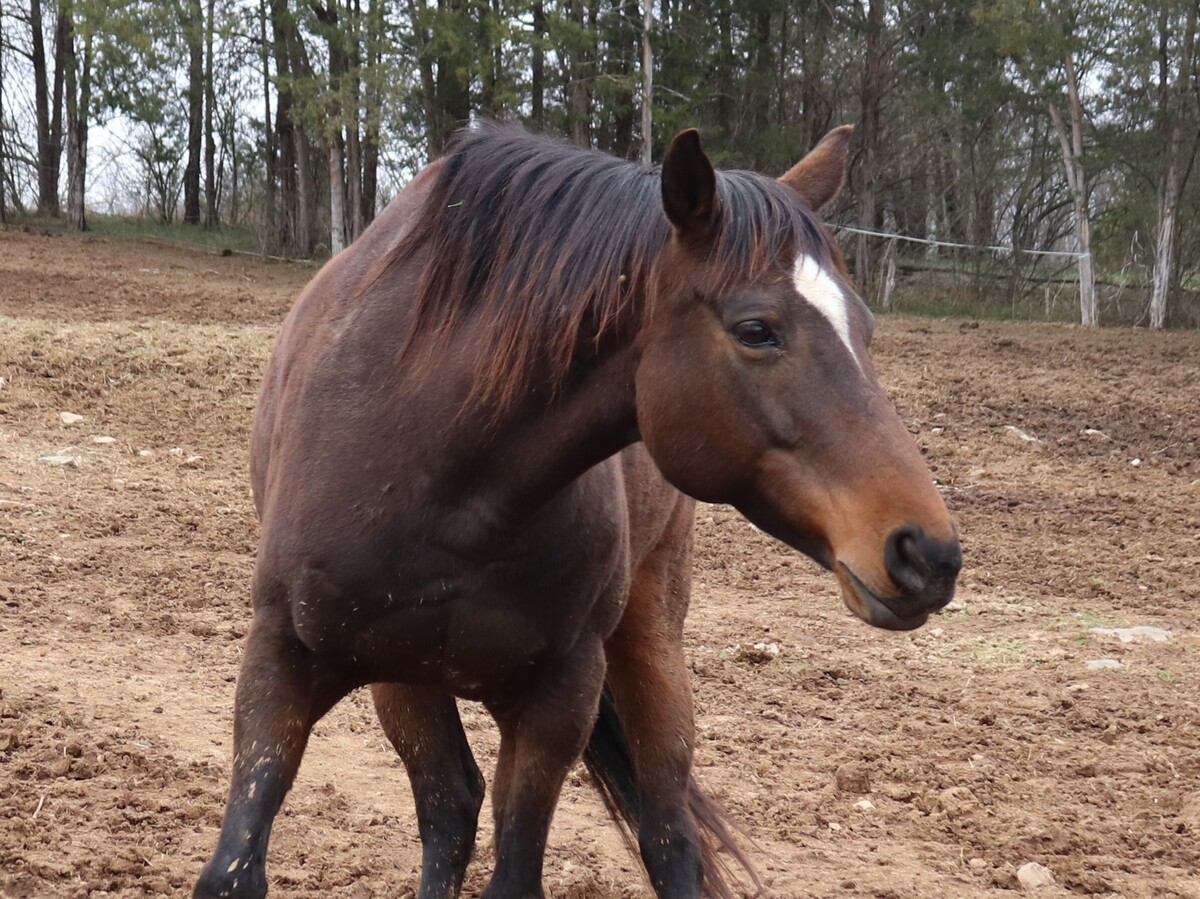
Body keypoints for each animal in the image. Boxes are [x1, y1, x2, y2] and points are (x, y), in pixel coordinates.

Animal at [194, 123, 961, 899]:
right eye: (756, 329)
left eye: (865, 328)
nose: (927, 553)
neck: (434, 467)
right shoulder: (283, 661)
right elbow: (233, 869)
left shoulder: (557, 701)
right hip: (401, 679)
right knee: (449, 806)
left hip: (651, 641)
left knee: (667, 831)